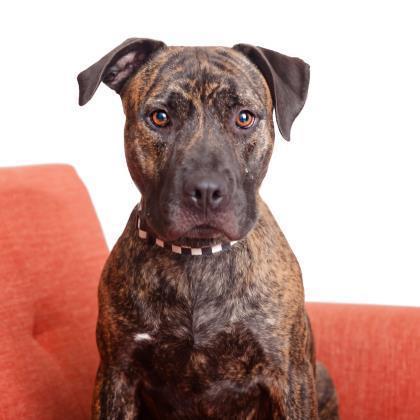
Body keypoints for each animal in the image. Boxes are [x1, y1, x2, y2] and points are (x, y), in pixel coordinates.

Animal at [77, 37, 340, 418]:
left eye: (244, 117)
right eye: (160, 117)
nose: (205, 190)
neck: (197, 257)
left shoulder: (289, 377)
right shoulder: (117, 375)